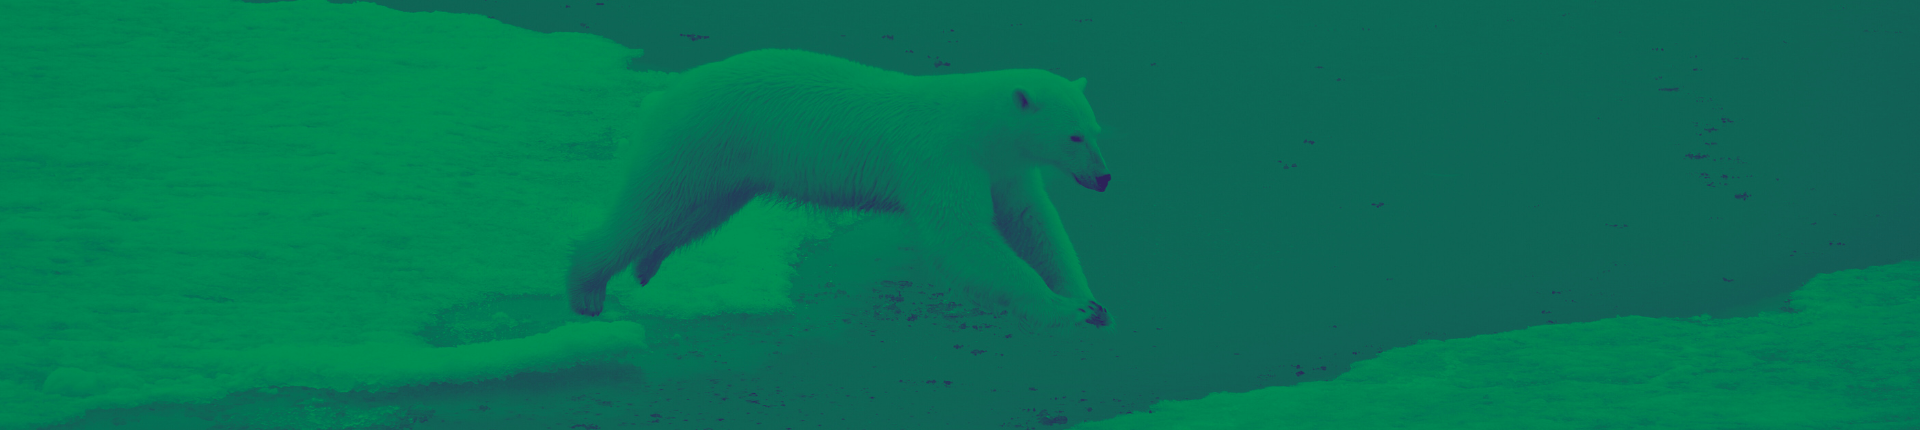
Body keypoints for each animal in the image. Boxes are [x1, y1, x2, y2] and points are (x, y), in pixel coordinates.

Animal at [566, 49, 1111, 331]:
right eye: (1074, 136)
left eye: (1095, 129)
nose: (1104, 178)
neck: (978, 125)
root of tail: (665, 92)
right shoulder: (940, 158)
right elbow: (963, 239)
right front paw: (1067, 310)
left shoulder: (1004, 170)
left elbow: (1035, 225)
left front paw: (1089, 299)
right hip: (705, 136)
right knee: (655, 204)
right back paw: (588, 289)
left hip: (727, 161)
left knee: (692, 213)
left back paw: (647, 264)